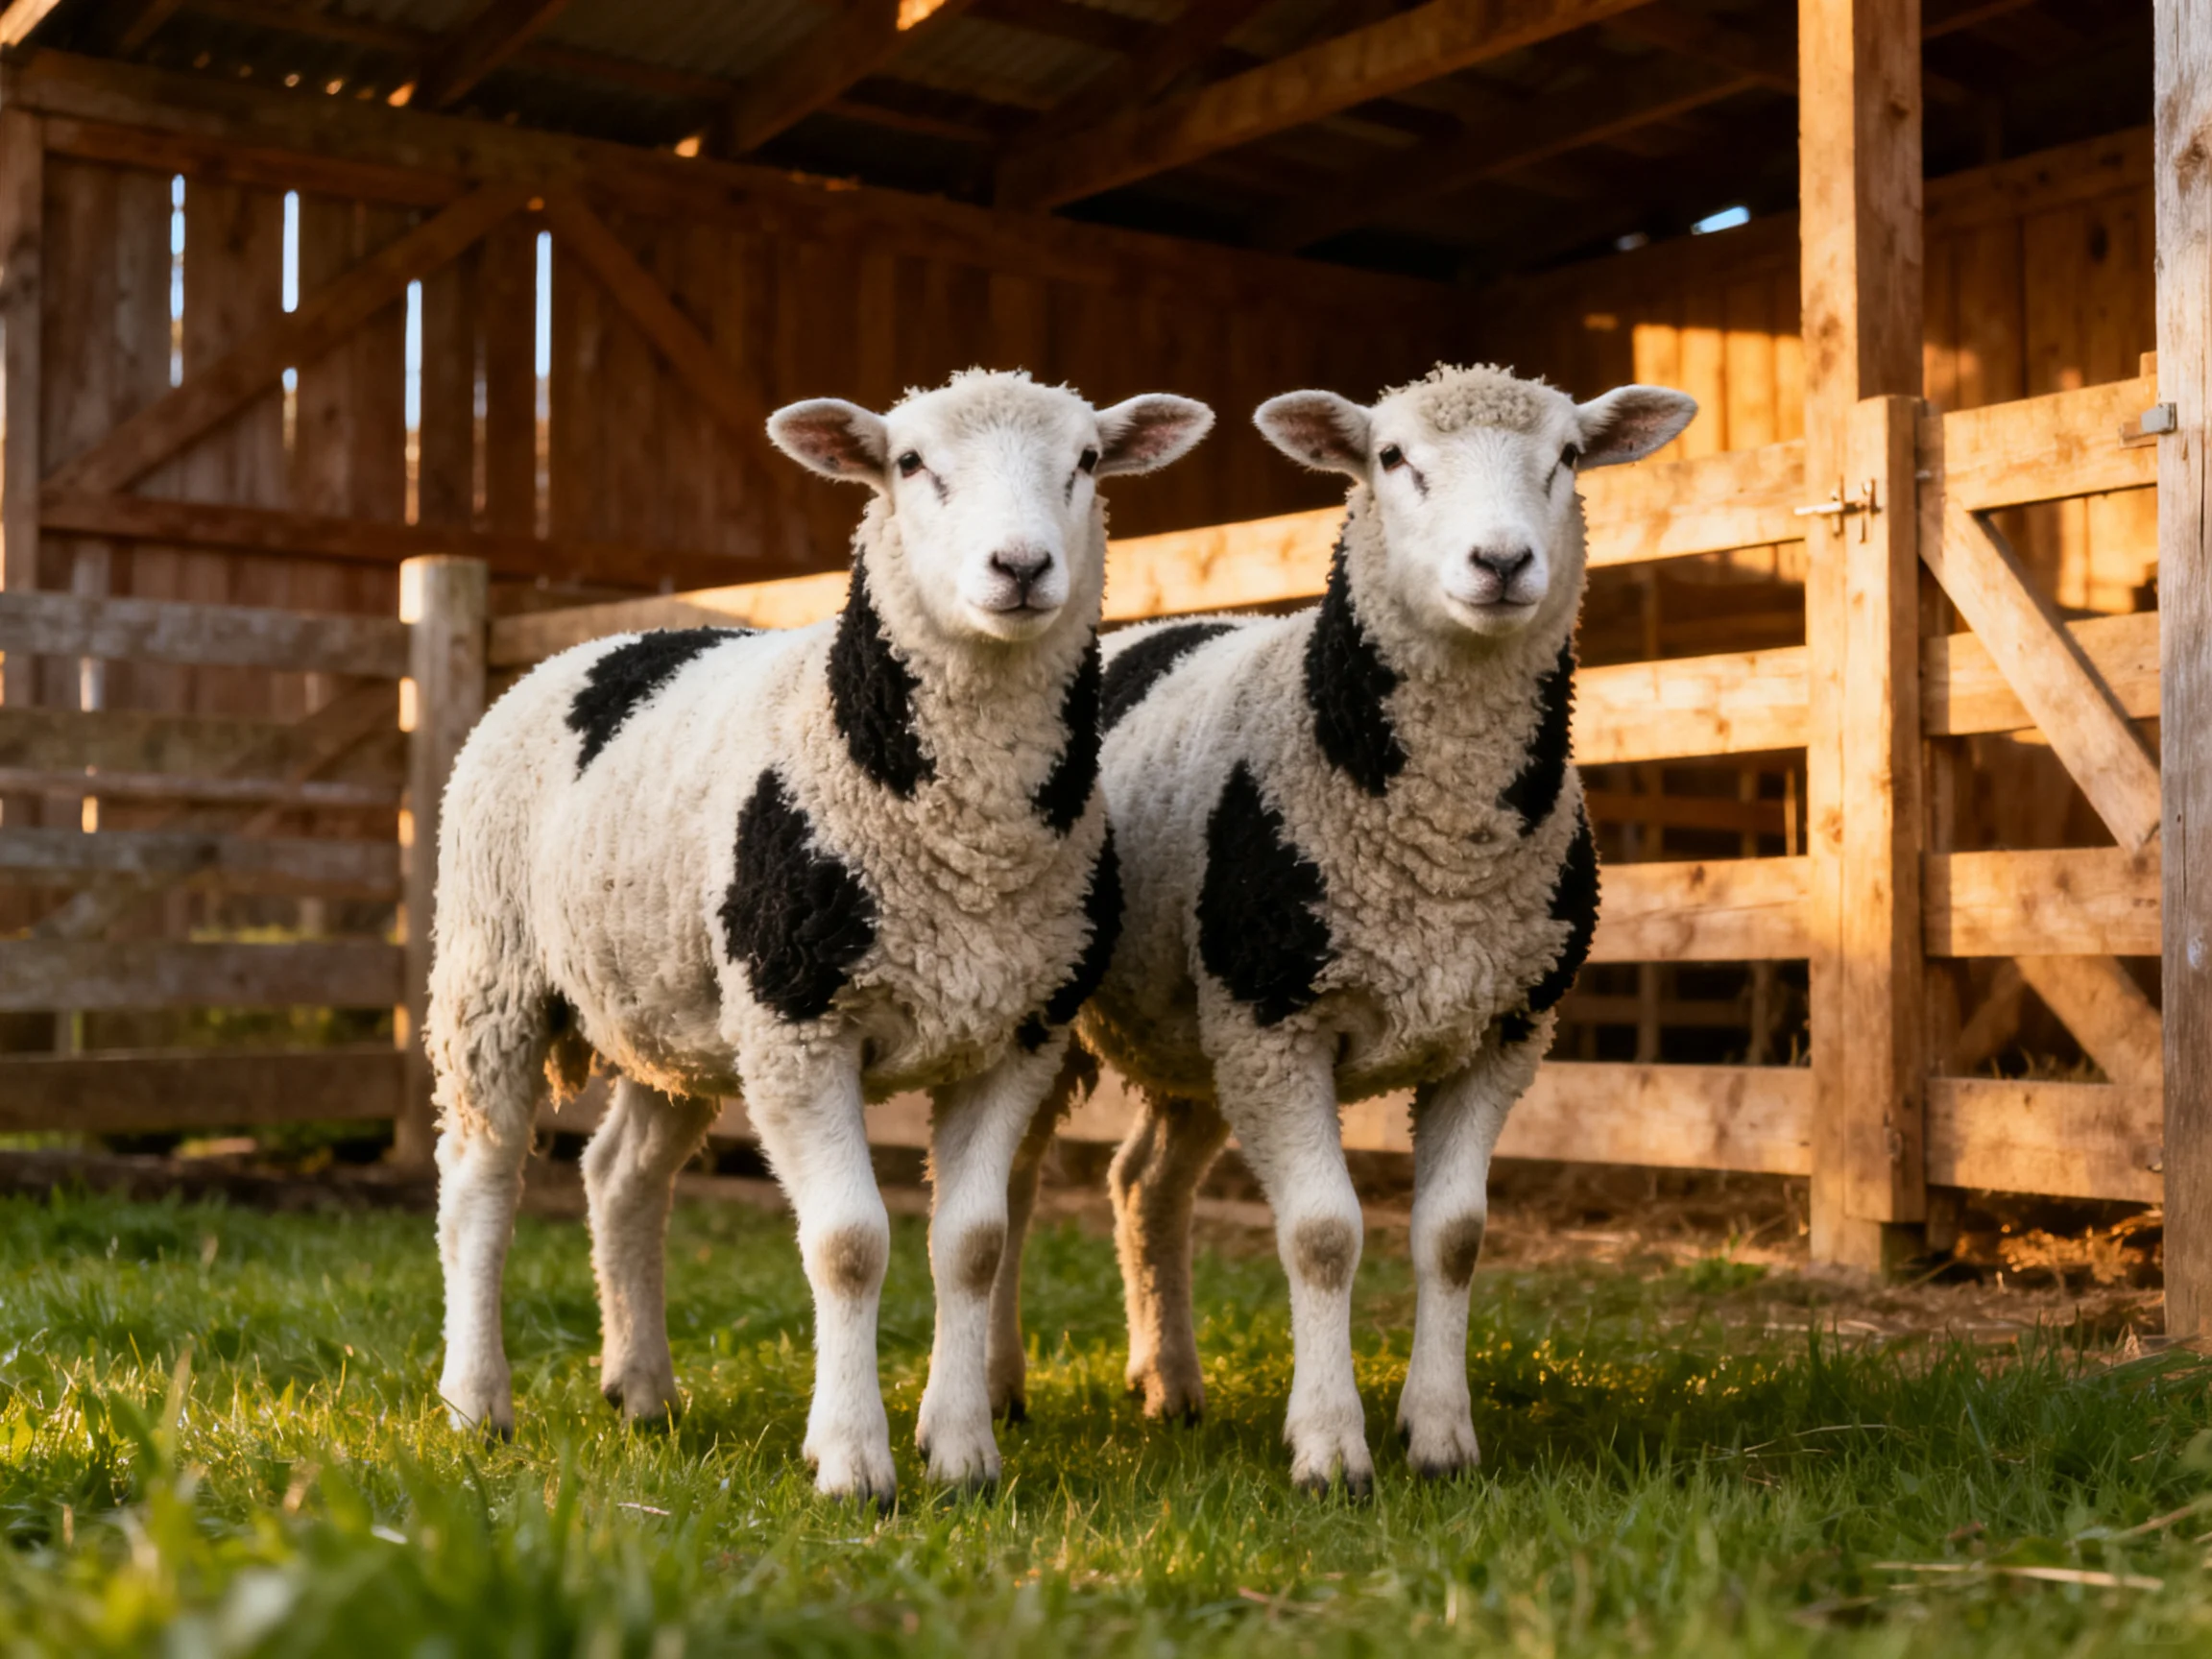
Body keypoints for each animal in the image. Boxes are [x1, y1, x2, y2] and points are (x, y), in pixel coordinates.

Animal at [425, 369, 1213, 1503]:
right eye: (911, 464)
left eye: (1088, 461)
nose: (1020, 568)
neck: (964, 842)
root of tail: (597, 647)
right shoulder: (799, 1022)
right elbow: (847, 1243)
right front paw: (851, 1463)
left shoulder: (1019, 1030)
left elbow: (973, 1245)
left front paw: (963, 1454)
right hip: (494, 971)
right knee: (480, 1183)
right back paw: (476, 1402)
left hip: (679, 1015)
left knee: (621, 1176)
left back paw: (643, 1389)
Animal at [1046, 364, 1695, 1493]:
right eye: (1392, 458)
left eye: (1568, 457)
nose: (1502, 562)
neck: (1441, 855)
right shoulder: (1276, 1022)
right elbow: (1321, 1236)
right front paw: (1329, 1448)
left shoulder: (1503, 1029)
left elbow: (1454, 1237)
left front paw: (1439, 1436)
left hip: (1195, 1043)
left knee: (1143, 1187)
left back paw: (1169, 1382)